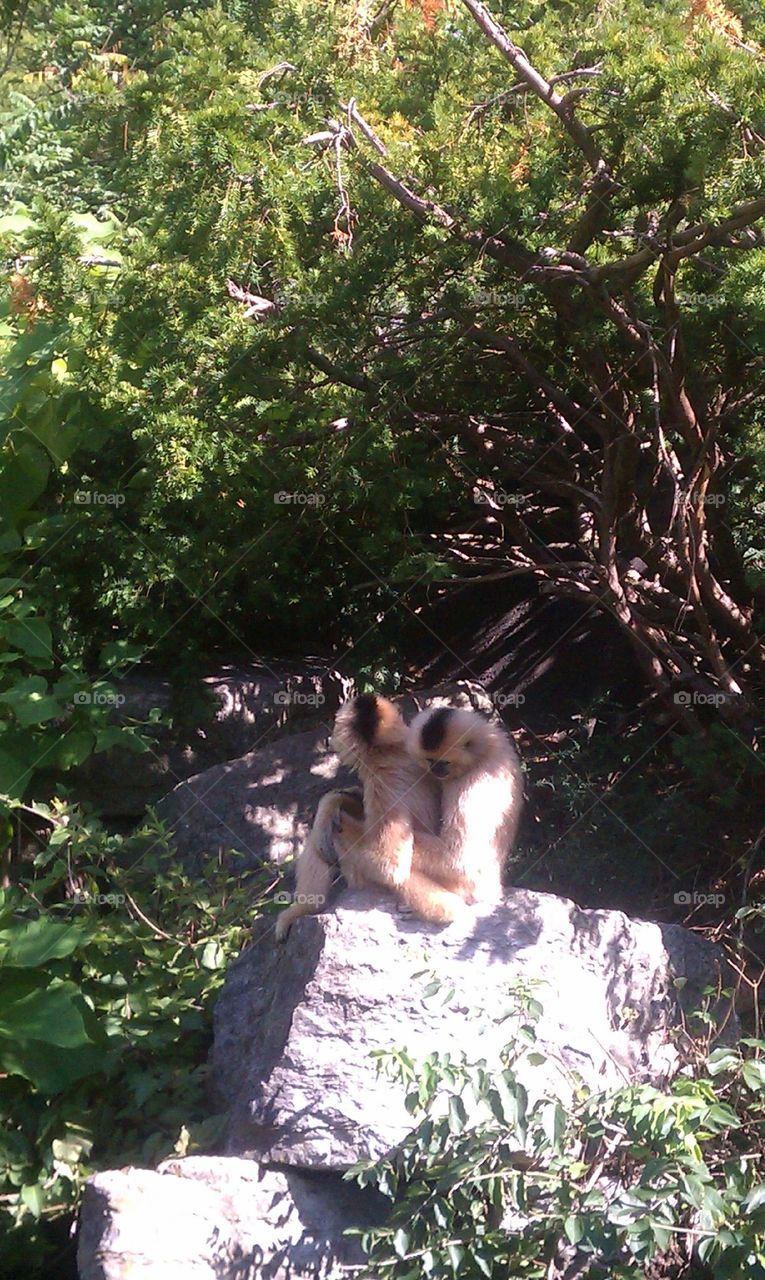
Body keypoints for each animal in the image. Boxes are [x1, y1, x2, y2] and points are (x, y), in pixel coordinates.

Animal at [275, 694, 468, 941]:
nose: (331, 738)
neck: (389, 749)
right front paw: (331, 803)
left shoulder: (381, 780)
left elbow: (390, 865)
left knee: (336, 832)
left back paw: (304, 908)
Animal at [406, 705, 523, 904]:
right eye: (430, 760)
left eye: (444, 762)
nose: (436, 769)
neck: (483, 750)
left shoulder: (478, 779)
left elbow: (458, 855)